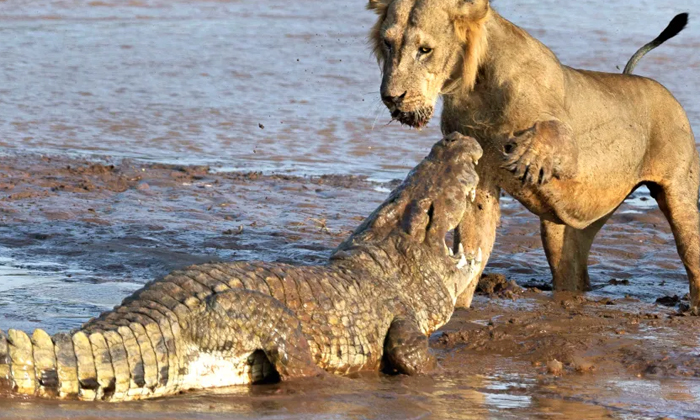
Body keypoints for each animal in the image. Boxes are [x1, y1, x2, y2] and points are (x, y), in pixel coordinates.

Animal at [366, 0, 700, 314]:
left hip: (679, 196)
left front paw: (526, 158)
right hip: (566, 231)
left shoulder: (574, 151)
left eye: (425, 50)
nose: (391, 98)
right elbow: (473, 242)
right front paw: (457, 306)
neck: (477, 86)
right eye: (387, 43)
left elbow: (552, 131)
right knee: (571, 268)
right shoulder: (479, 175)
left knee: (690, 249)